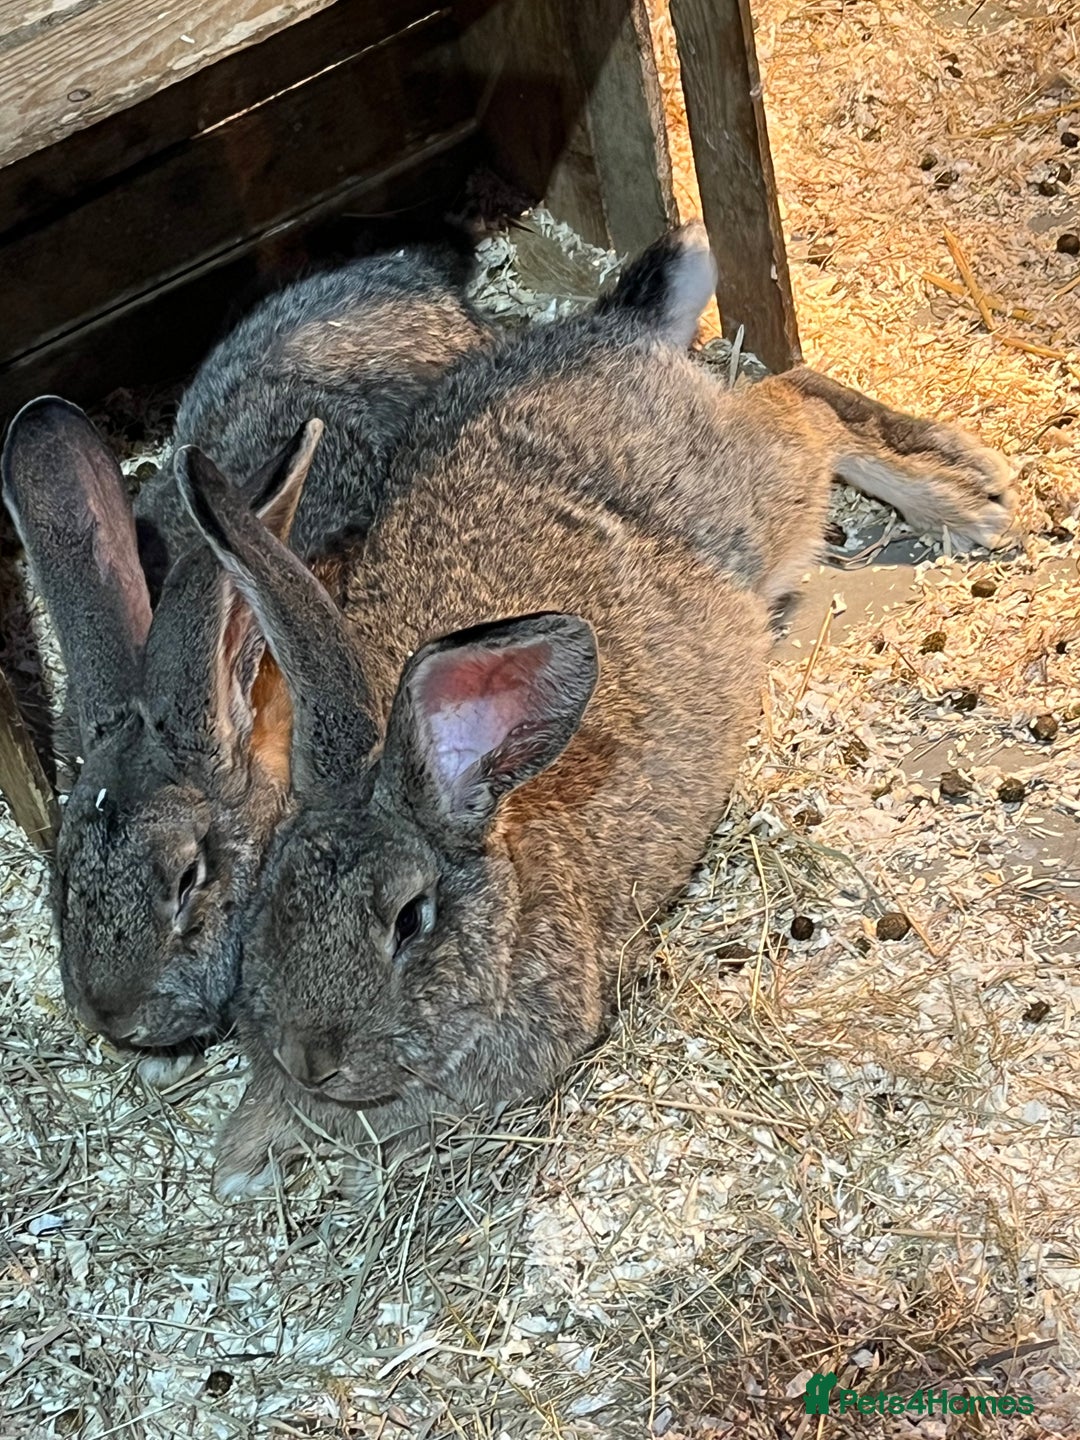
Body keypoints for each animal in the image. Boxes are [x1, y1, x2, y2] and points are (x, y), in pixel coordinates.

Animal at [172, 221, 1015, 1198]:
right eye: (272, 900)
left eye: (410, 920)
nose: (313, 1059)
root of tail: (620, 328)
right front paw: (245, 1151)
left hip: (757, 505)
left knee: (797, 403)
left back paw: (969, 498)